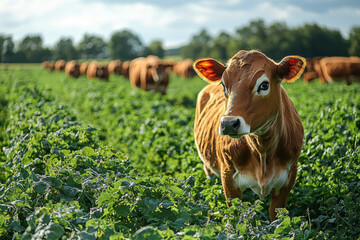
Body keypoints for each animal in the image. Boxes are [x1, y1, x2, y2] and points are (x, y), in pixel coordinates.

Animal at [193, 50, 306, 221]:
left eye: (264, 85)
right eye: (223, 85)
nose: (228, 124)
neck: (262, 149)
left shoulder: (288, 178)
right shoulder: (228, 178)